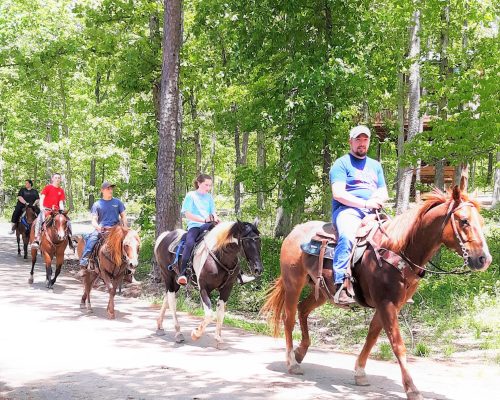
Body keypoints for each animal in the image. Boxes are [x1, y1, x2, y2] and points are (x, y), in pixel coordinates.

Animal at [154, 220, 264, 348]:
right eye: (246, 241)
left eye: (259, 240)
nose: (258, 269)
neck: (220, 256)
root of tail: (165, 235)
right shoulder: (204, 288)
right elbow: (210, 315)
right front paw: (196, 334)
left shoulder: (227, 288)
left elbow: (220, 312)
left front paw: (218, 338)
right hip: (168, 277)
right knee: (172, 302)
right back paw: (178, 333)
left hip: (175, 282)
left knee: (166, 297)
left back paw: (160, 327)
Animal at [262, 188, 492, 400]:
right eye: (464, 221)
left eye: (480, 221)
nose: (484, 259)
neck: (398, 250)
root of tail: (294, 231)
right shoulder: (386, 303)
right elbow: (397, 345)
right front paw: (412, 388)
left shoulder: (391, 305)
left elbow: (372, 335)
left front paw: (360, 372)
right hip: (294, 283)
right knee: (289, 318)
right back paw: (292, 362)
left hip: (322, 292)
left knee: (303, 310)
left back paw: (300, 352)